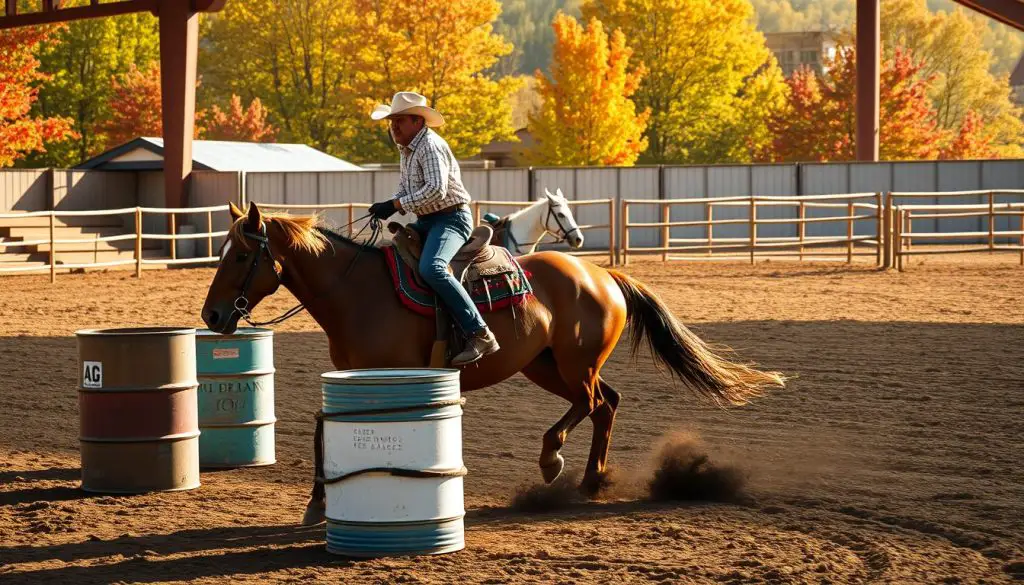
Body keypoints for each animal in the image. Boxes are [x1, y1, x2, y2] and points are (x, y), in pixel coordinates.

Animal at [203, 203, 786, 524]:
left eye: (241, 255)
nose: (211, 315)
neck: (357, 293)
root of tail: (601, 274)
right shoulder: (350, 386)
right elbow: (322, 435)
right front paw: (316, 505)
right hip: (545, 365)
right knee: (605, 403)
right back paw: (590, 480)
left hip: (573, 364)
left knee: (593, 402)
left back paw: (555, 462)